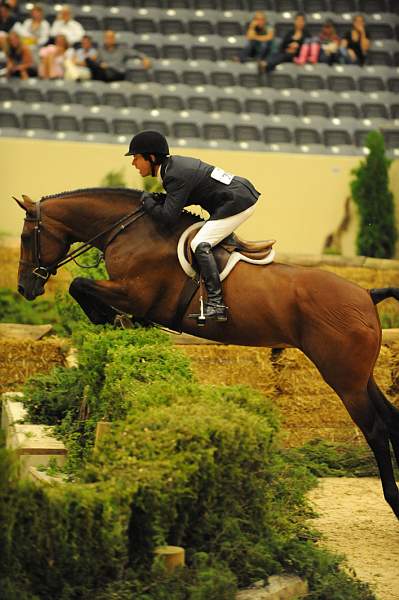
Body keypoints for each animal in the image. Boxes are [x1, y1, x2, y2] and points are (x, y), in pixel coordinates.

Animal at [15, 189, 399, 520]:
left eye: (26, 237)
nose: (24, 288)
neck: (130, 231)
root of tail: (367, 295)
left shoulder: (134, 293)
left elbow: (79, 285)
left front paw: (111, 317)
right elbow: (82, 287)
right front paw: (120, 320)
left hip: (344, 380)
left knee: (376, 430)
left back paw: (392, 499)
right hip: (360, 377)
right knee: (391, 417)